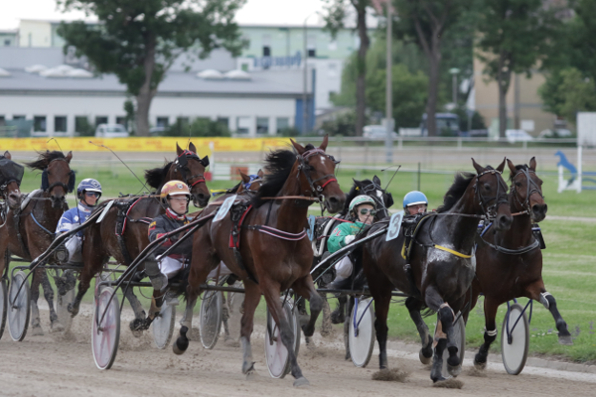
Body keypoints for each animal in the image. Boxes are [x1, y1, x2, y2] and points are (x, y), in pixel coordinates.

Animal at [0, 150, 76, 336]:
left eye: (67, 172)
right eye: (48, 172)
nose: (58, 198)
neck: (51, 218)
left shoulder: (58, 254)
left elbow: (68, 277)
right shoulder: (38, 254)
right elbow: (46, 290)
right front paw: (53, 321)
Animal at [67, 141, 211, 332]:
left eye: (203, 167)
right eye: (186, 167)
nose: (204, 196)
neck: (157, 212)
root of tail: (98, 209)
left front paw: (146, 318)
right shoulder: (145, 256)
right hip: (94, 253)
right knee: (86, 280)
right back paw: (73, 308)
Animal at [172, 137, 344, 386]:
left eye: (332, 164)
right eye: (310, 167)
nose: (337, 199)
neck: (285, 228)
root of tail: (212, 207)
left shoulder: (300, 277)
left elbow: (316, 302)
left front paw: (308, 327)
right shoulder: (269, 282)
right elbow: (284, 329)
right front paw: (297, 371)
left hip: (251, 283)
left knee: (246, 323)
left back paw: (247, 364)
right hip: (203, 261)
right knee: (193, 290)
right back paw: (182, 339)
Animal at [360, 159, 516, 384]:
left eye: (506, 187)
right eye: (487, 186)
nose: (505, 219)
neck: (453, 240)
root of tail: (373, 228)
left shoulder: (457, 295)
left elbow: (446, 326)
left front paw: (439, 372)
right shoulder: (432, 290)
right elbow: (447, 317)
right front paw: (453, 359)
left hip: (413, 289)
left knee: (410, 305)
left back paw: (424, 351)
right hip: (380, 286)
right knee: (381, 327)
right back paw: (384, 369)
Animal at [470, 157, 572, 368]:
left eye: (540, 181)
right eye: (518, 184)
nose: (539, 208)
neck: (514, 246)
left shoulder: (531, 284)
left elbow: (550, 300)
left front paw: (564, 331)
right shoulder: (491, 296)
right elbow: (490, 332)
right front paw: (480, 357)